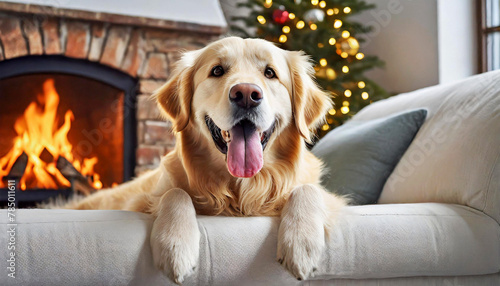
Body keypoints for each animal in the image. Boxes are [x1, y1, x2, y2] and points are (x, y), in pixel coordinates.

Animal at [68, 36, 346, 282]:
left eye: (270, 73)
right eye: (217, 70)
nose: (246, 94)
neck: (239, 190)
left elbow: (308, 190)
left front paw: (302, 246)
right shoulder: (145, 199)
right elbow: (175, 193)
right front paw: (175, 247)